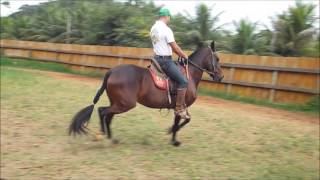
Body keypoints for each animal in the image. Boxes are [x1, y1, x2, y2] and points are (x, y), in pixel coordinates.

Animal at [68, 40, 222, 146]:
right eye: (217, 59)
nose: (221, 77)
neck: (189, 75)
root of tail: (111, 71)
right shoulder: (180, 106)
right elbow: (182, 121)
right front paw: (173, 137)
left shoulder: (180, 106)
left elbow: (183, 120)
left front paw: (172, 136)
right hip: (125, 104)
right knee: (102, 112)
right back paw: (102, 135)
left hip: (117, 103)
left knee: (108, 116)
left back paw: (111, 138)